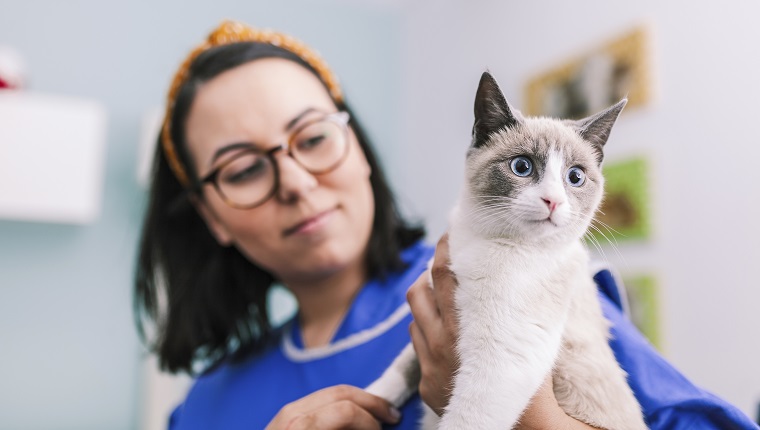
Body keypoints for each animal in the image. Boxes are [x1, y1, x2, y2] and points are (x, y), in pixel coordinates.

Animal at [368, 72, 648, 428]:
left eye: (575, 177)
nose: (553, 201)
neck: (484, 239)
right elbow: (403, 364)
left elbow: (465, 418)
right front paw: (370, 401)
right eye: (522, 167)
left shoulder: (502, 359)